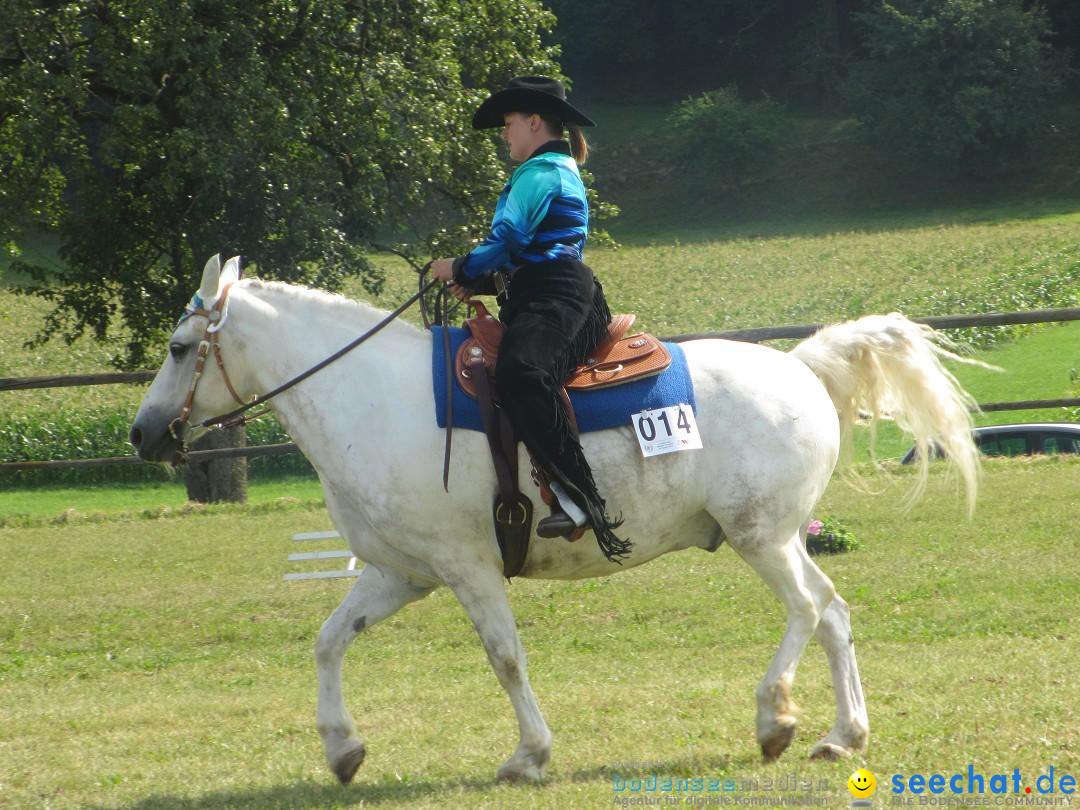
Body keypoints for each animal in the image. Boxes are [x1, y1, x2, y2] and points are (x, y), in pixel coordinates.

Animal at [130, 254, 984, 786]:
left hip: (759, 538)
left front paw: (528, 755)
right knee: (834, 612)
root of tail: (800, 366)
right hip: (776, 536)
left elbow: (506, 658)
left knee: (807, 610)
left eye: (177, 347)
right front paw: (343, 751)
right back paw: (842, 736)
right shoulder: (401, 573)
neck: (371, 399)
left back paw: (774, 718)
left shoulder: (469, 569)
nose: (142, 435)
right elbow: (329, 640)